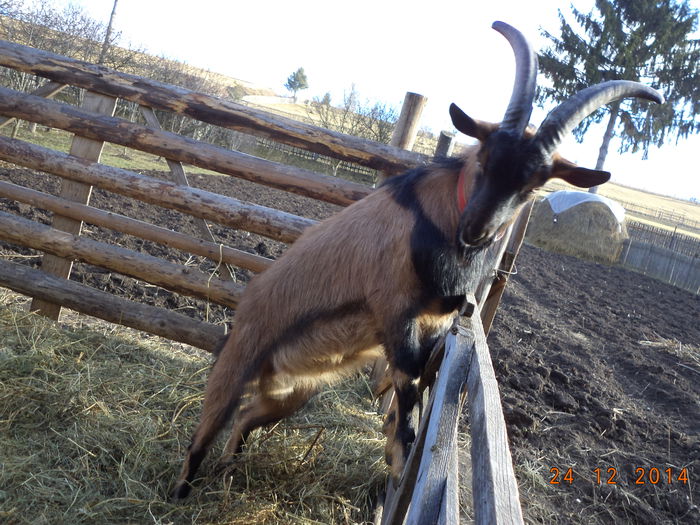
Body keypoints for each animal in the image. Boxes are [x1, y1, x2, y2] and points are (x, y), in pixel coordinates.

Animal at [170, 21, 660, 500]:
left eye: (534, 185)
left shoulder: (439, 318)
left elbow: (425, 374)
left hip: (292, 391)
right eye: (483, 158)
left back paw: (230, 465)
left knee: (247, 416)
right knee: (205, 430)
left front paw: (395, 442)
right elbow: (407, 380)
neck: (432, 222)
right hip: (237, 362)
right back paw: (180, 491)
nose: (476, 231)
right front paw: (400, 453)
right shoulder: (395, 308)